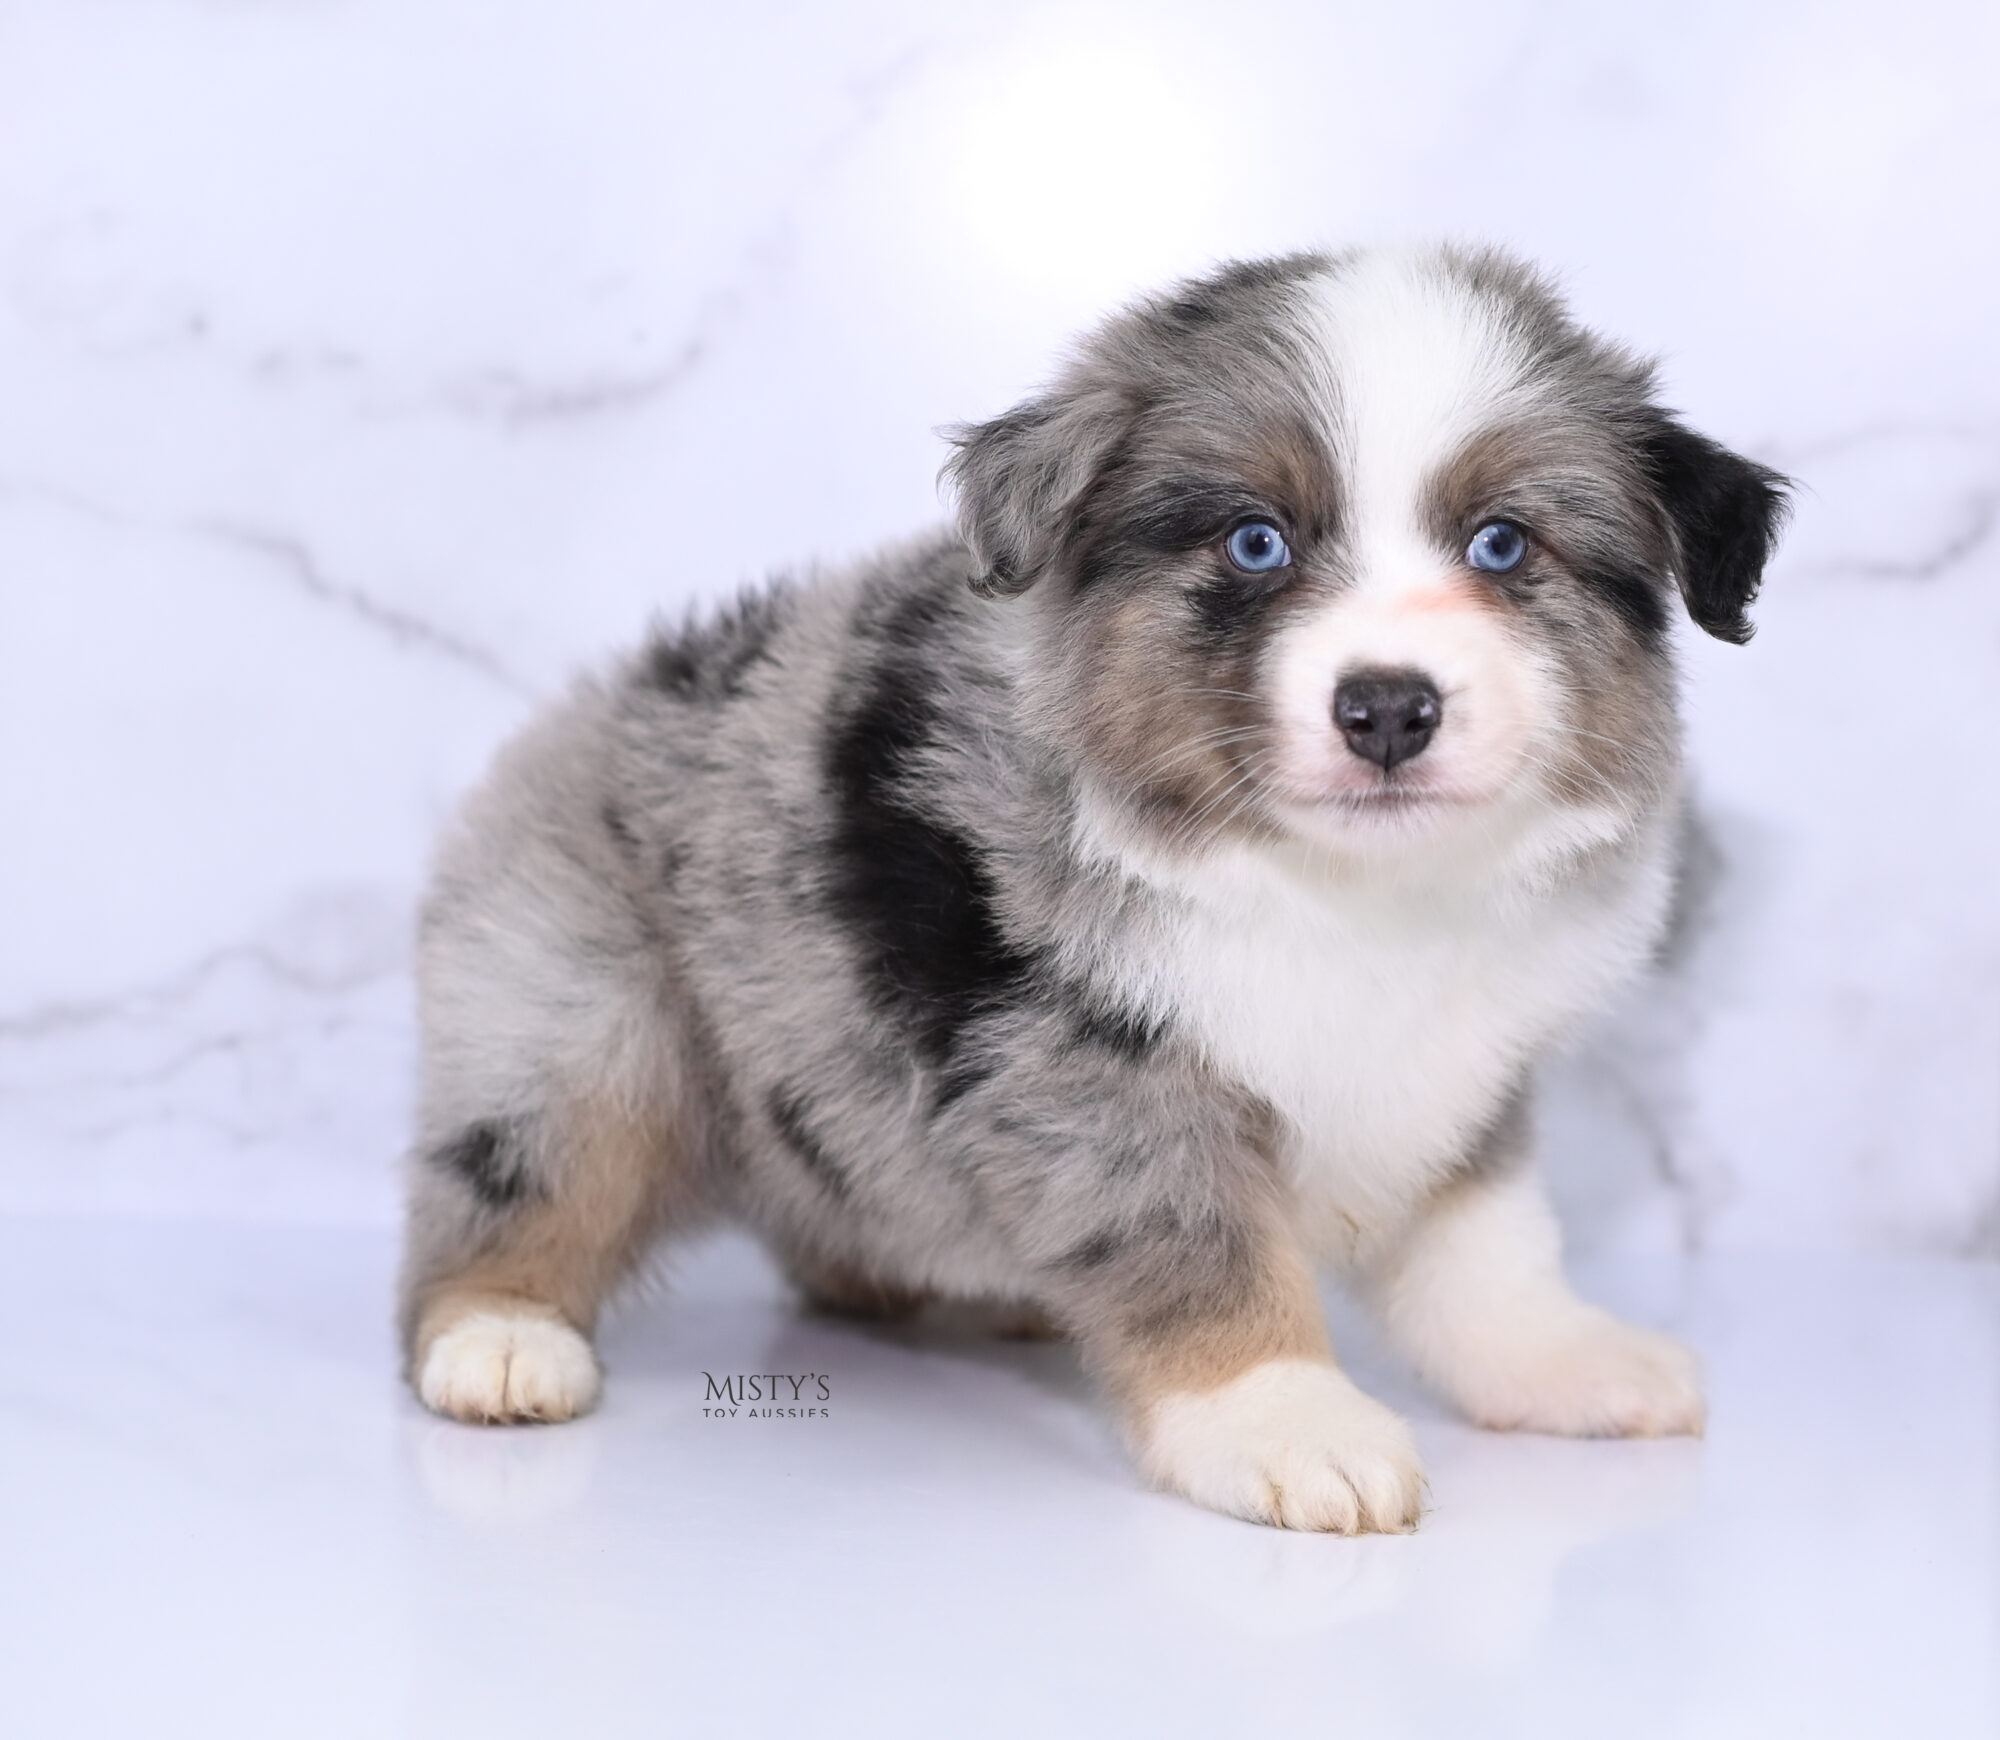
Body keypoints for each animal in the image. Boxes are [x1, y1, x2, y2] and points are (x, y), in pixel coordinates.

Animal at [398, 238, 1792, 1536]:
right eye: (1254, 541)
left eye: (1501, 545)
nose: (1388, 707)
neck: (1340, 885)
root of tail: (578, 713)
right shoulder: (1089, 1069)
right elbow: (1197, 1243)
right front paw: (1282, 1419)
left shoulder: (1463, 1072)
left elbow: (1483, 1244)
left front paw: (1556, 1359)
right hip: (584, 1008)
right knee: (522, 1175)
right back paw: (497, 1338)